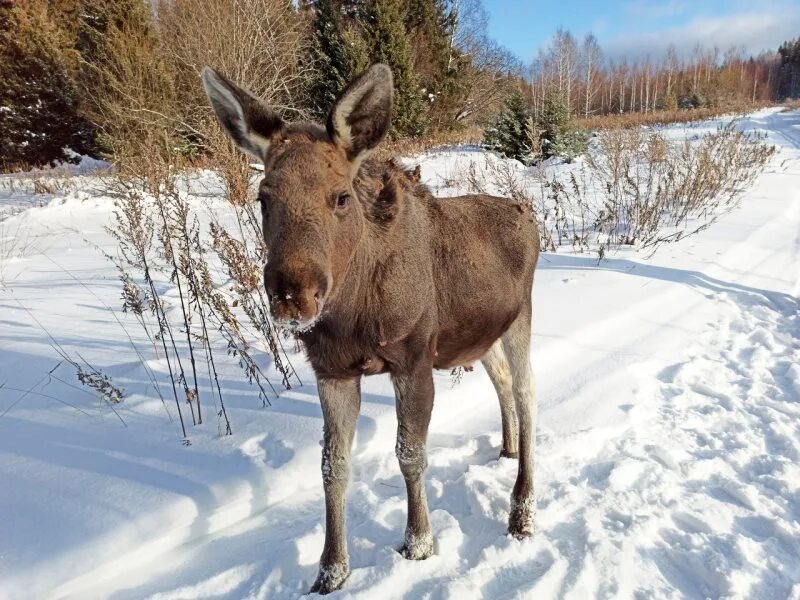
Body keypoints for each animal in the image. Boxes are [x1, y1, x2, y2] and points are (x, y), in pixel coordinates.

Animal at [200, 64, 540, 592]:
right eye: (263, 198)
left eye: (341, 197)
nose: (293, 294)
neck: (353, 315)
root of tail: (530, 214)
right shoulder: (332, 371)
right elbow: (332, 467)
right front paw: (330, 570)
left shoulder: (414, 358)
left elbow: (410, 453)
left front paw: (418, 544)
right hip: (480, 337)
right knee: (503, 382)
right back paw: (504, 450)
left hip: (521, 315)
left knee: (528, 395)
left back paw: (521, 512)